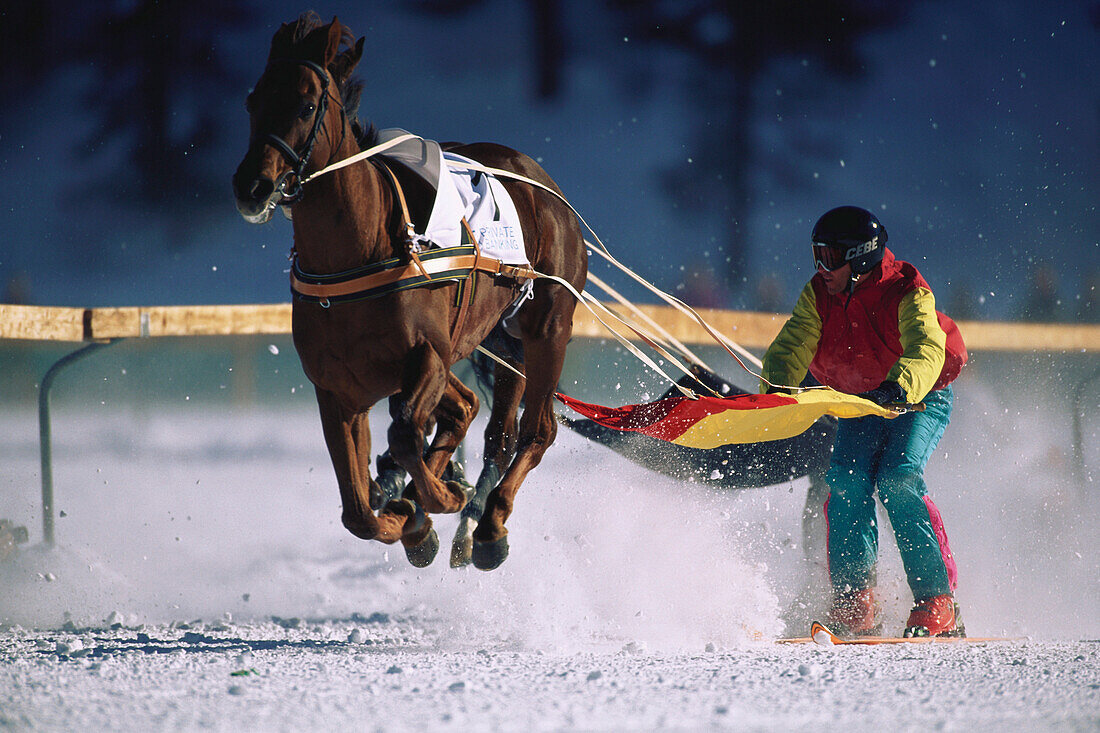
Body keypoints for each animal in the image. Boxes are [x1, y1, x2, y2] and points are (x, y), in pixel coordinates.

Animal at [232, 12, 589, 572]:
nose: (252, 186)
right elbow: (358, 511)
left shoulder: (426, 357)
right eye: (253, 100)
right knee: (479, 418)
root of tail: (539, 179)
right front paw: (411, 516)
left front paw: (438, 500)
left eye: (307, 104)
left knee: (534, 429)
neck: (357, 256)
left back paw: (489, 522)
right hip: (495, 339)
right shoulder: (337, 389)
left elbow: (407, 432)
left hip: (545, 326)